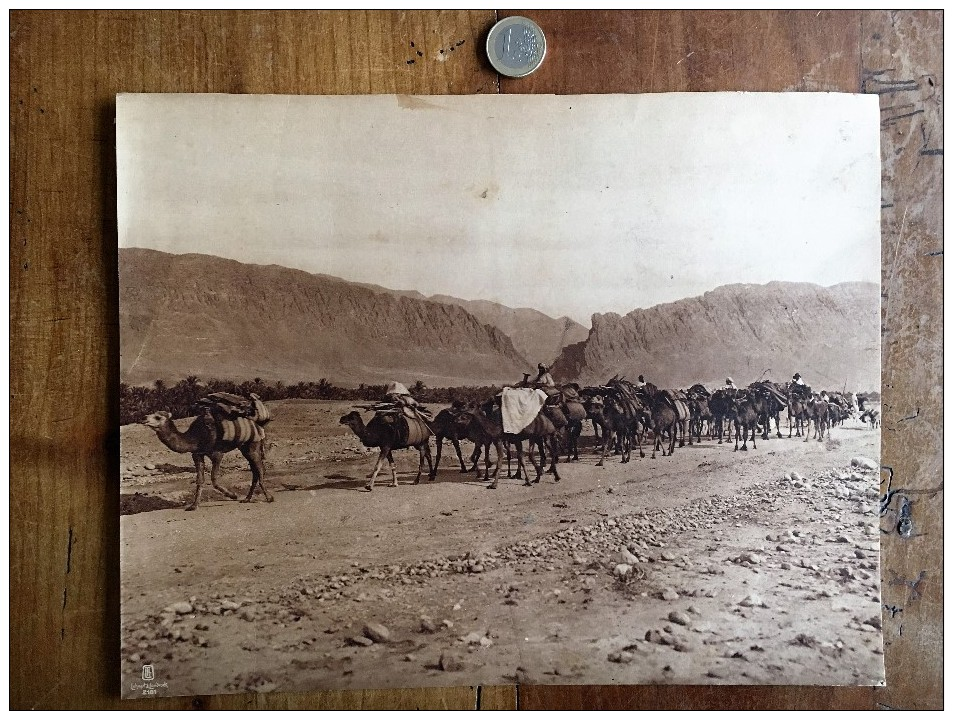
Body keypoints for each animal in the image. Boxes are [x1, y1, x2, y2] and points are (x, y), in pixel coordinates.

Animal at [143, 412, 274, 512]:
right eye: (151, 414)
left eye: (158, 417)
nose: (144, 419)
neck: (195, 438)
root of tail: (259, 425)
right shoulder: (197, 454)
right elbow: (200, 480)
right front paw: (193, 506)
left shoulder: (217, 454)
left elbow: (214, 479)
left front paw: (232, 495)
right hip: (244, 447)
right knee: (255, 471)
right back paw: (247, 499)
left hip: (253, 444)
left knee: (260, 468)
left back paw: (269, 498)